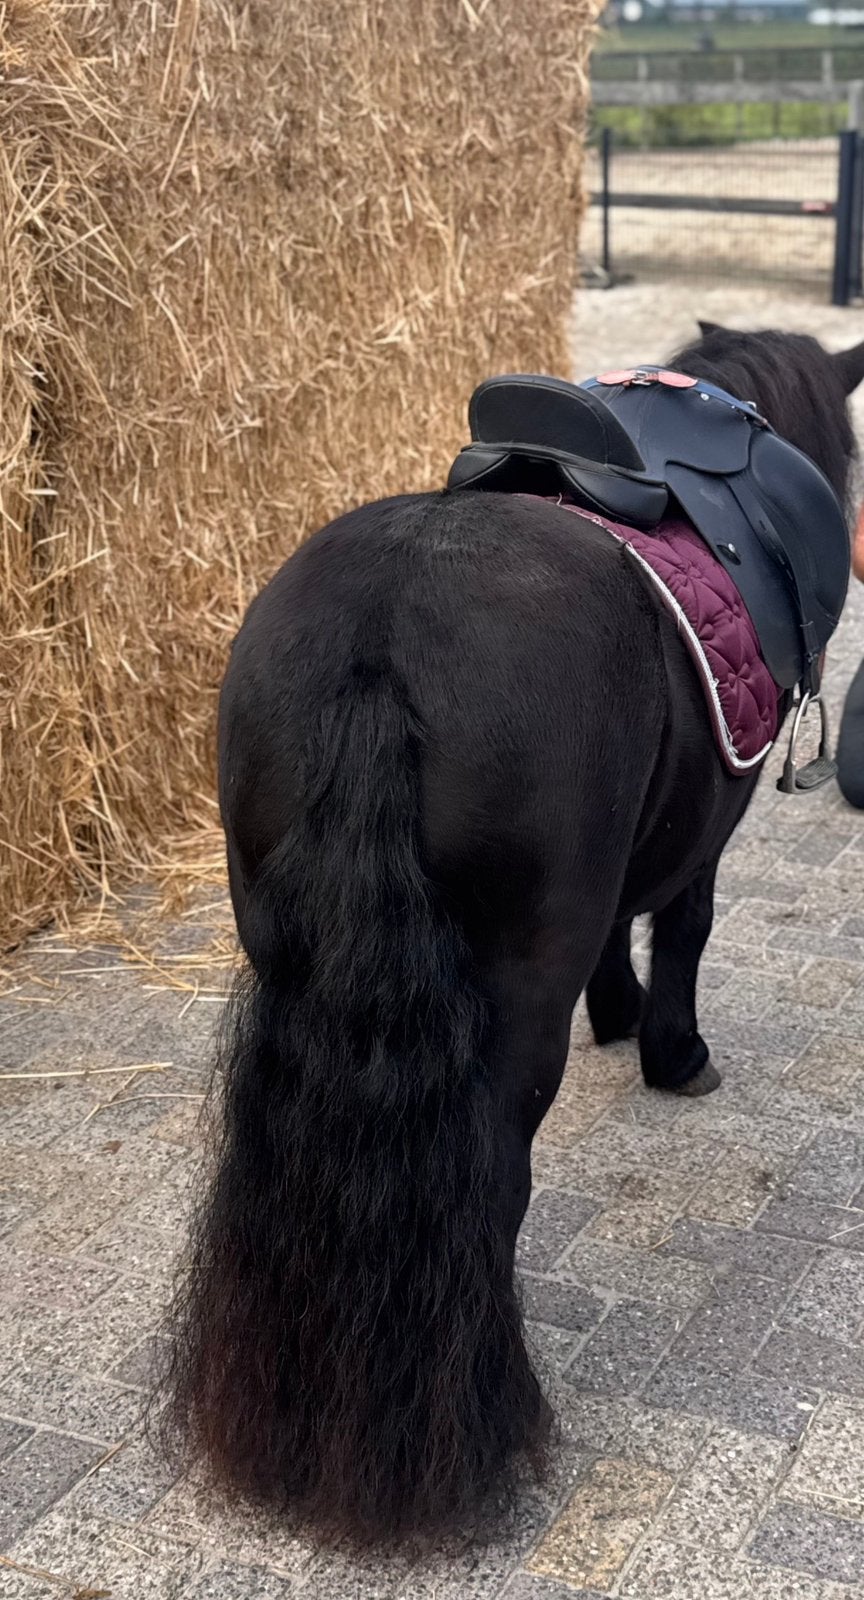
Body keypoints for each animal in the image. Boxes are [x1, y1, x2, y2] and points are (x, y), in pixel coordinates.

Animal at [162, 324, 864, 1547]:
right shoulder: (705, 828)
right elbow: (684, 923)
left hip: (283, 958)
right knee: (487, 1185)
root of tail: (381, 644)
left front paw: (620, 1014)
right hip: (508, 1011)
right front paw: (672, 1049)